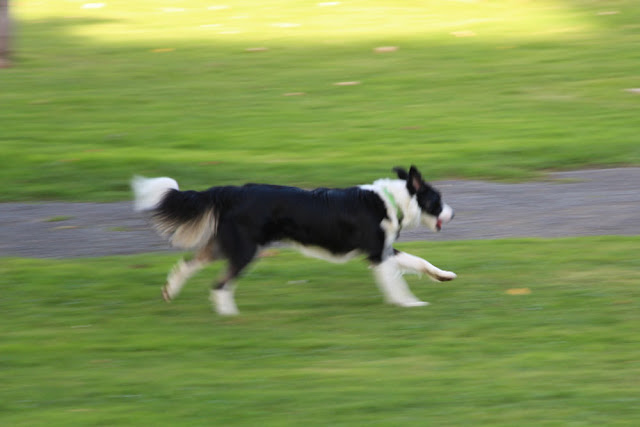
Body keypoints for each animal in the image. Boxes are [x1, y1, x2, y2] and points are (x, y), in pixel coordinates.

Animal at [132, 166, 456, 316]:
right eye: (438, 200)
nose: (453, 214)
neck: (392, 200)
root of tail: (231, 191)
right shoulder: (377, 254)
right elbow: (397, 282)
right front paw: (409, 304)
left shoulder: (384, 250)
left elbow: (418, 261)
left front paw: (444, 275)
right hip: (245, 250)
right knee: (220, 284)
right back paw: (230, 316)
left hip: (225, 246)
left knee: (187, 264)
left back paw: (169, 292)